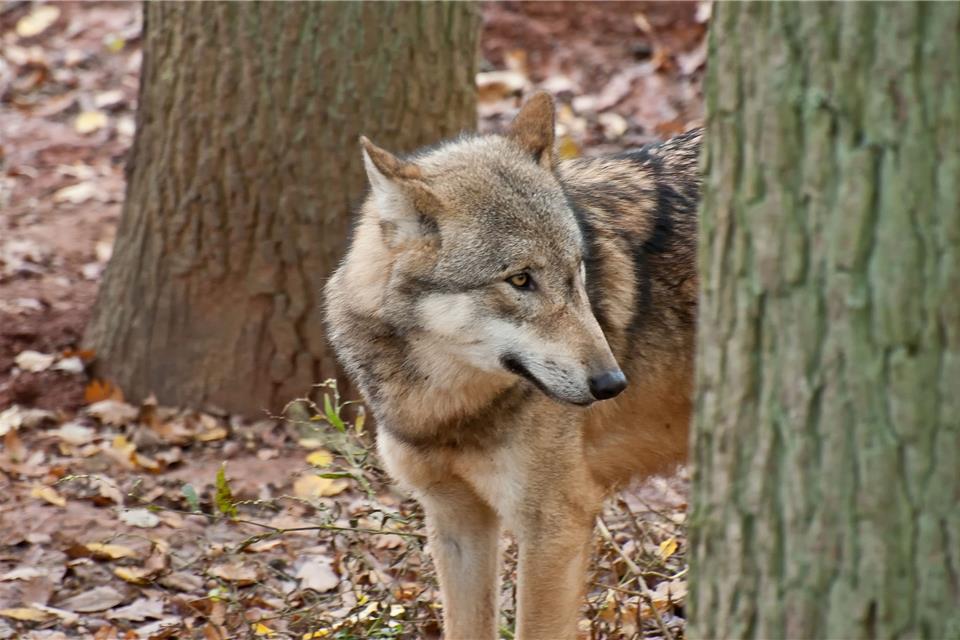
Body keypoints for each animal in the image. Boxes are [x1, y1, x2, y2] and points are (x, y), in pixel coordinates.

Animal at [324, 92, 700, 640]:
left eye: (577, 269)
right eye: (520, 279)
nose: (612, 383)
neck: (447, 410)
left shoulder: (554, 526)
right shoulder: (455, 520)